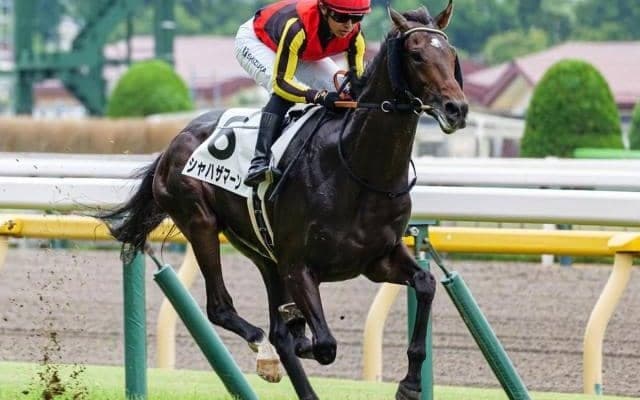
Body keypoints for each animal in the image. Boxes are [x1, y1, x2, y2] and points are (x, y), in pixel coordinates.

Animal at [102, 3, 467, 400]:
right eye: (416, 55)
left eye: (451, 55)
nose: (456, 108)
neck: (358, 168)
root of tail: (174, 142)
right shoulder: (298, 265)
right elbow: (322, 344)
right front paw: (299, 333)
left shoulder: (379, 258)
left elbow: (426, 285)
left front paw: (411, 384)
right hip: (201, 223)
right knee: (224, 309)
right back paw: (265, 349)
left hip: (261, 252)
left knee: (272, 323)